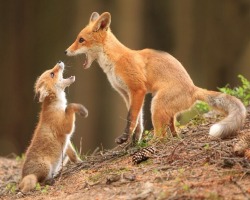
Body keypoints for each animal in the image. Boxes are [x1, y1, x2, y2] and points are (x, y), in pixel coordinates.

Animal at [18, 61, 87, 193]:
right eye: (52, 74)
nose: (59, 61)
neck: (56, 105)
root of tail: (23, 177)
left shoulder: (66, 139)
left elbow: (73, 155)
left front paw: (80, 162)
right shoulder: (66, 128)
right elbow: (70, 106)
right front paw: (81, 109)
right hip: (45, 168)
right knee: (39, 182)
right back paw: (49, 181)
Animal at [65, 11, 246, 145]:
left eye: (81, 40)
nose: (66, 51)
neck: (115, 61)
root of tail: (193, 88)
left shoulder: (137, 89)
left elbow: (131, 118)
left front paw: (126, 139)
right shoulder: (125, 93)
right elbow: (137, 121)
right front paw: (134, 141)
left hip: (156, 105)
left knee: (161, 136)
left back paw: (153, 143)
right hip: (164, 109)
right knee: (172, 128)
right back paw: (172, 138)